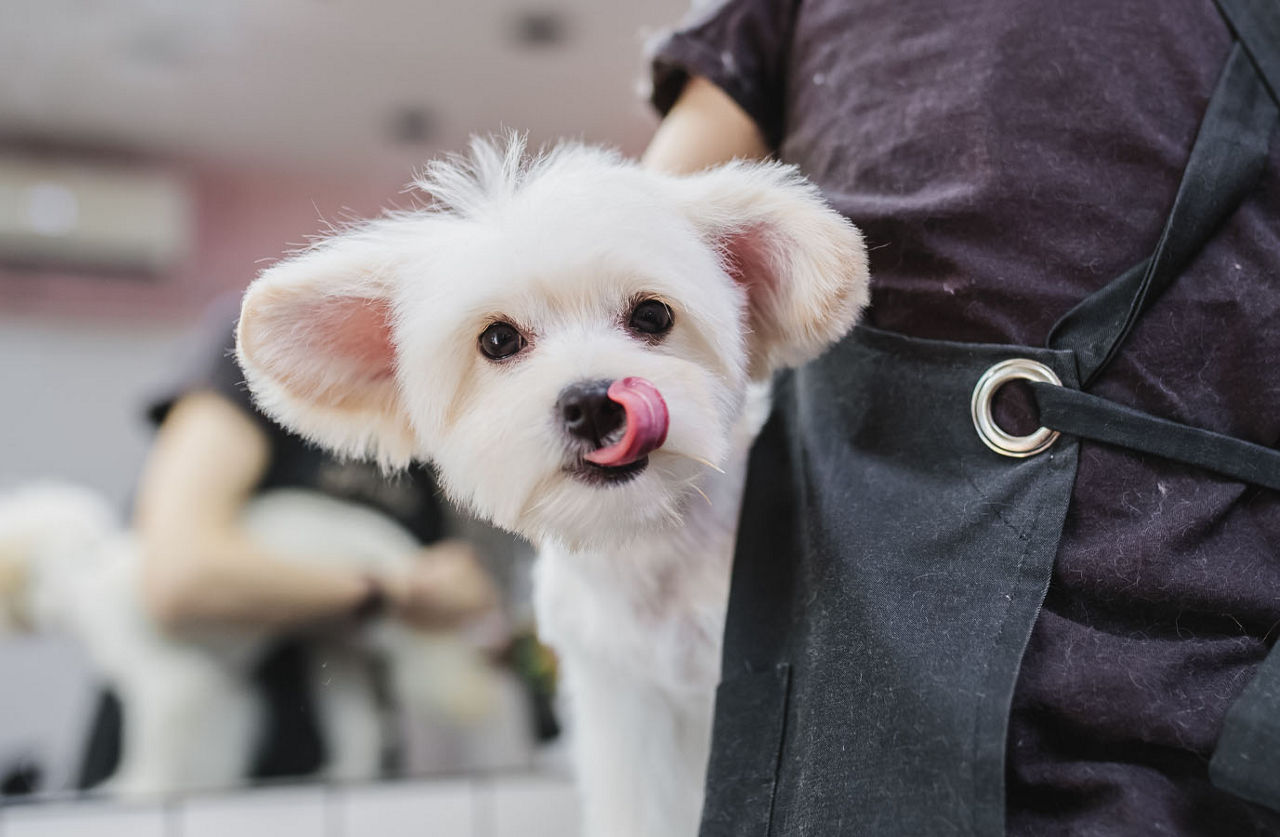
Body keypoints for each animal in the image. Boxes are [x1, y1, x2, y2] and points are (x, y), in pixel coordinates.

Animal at [0, 481, 499, 798]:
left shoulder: (168, 682)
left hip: (407, 630)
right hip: (337, 650)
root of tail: (391, 544)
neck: (81, 576)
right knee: (363, 728)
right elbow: (218, 736)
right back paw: (342, 773)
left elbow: (157, 745)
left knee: (457, 680)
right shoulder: (217, 684)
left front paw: (140, 785)